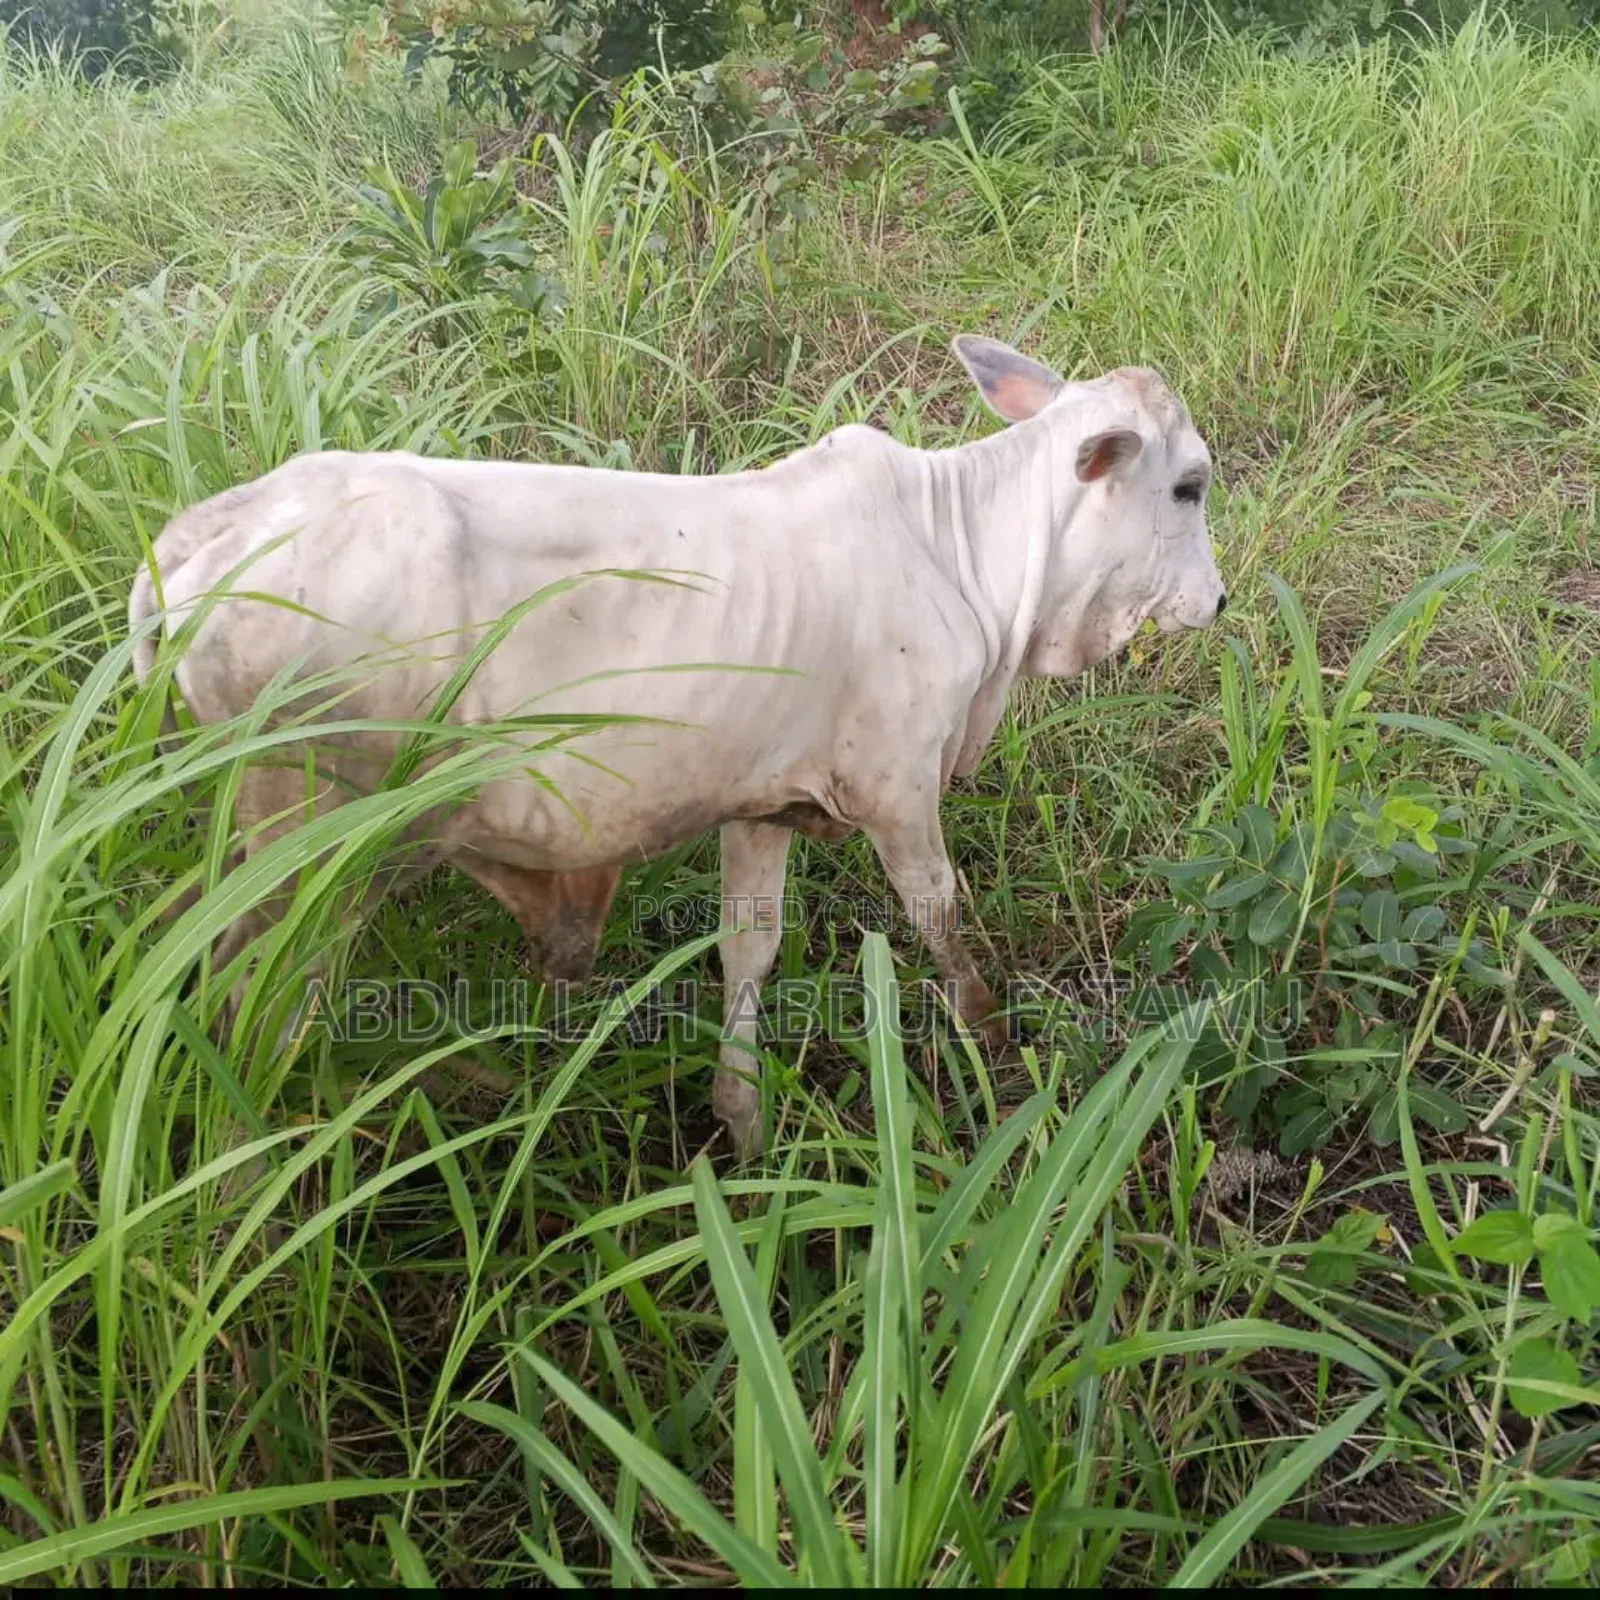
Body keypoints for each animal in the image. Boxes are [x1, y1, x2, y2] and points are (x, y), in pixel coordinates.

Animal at [128, 335, 1226, 1159]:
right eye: (1189, 486)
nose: (1216, 603)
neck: (968, 557)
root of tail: (200, 536)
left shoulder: (764, 801)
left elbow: (750, 946)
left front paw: (742, 1120)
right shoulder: (899, 788)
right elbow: (939, 918)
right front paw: (994, 1044)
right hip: (307, 839)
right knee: (250, 995)